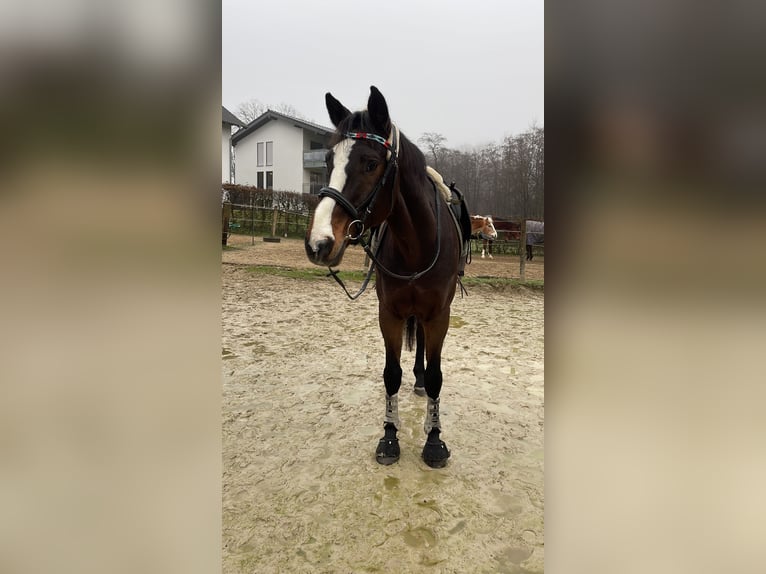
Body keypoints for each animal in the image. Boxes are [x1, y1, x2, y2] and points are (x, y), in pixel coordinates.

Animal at [304, 86, 464, 472]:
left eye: (370, 164)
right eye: (328, 161)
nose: (319, 243)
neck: (416, 244)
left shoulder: (440, 315)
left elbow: (436, 376)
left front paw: (434, 440)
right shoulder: (388, 313)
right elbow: (391, 374)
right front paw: (390, 437)